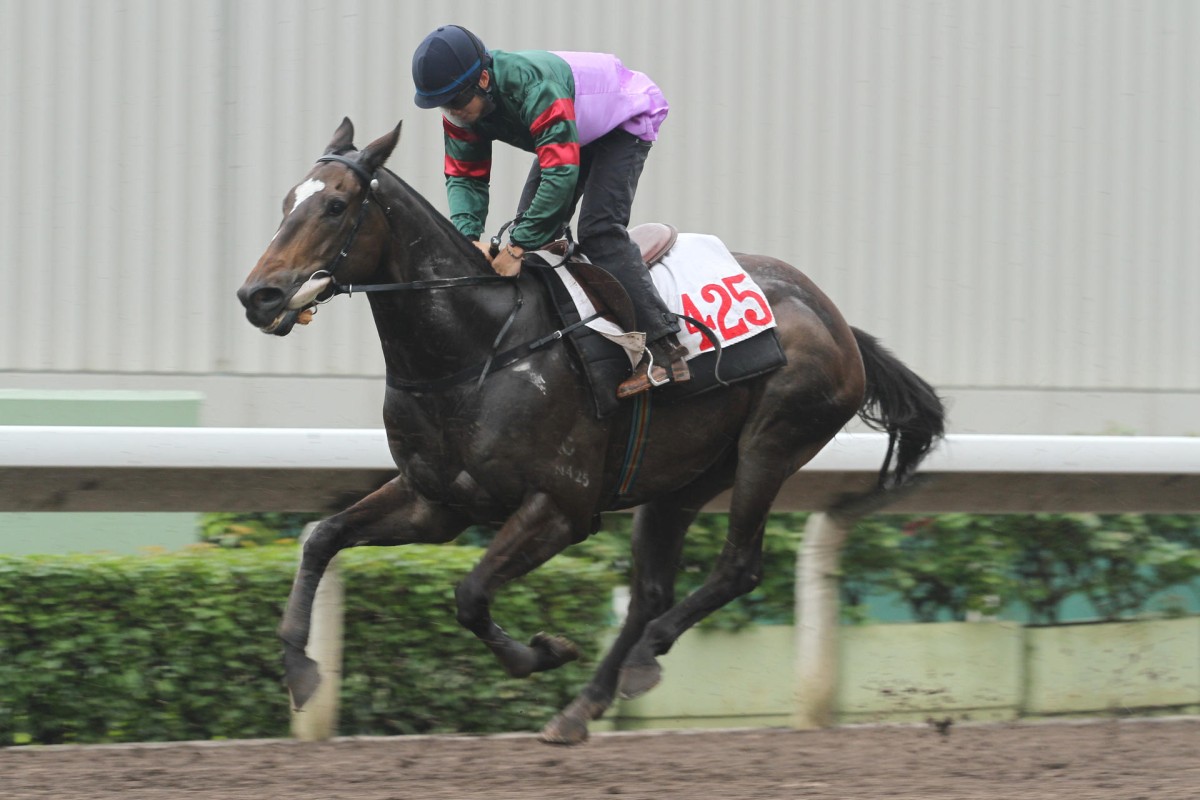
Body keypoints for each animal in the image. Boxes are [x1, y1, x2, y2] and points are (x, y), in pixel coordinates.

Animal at [236, 118, 945, 743]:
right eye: (285, 202)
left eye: (335, 205)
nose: (258, 296)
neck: (477, 347)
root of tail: (838, 322)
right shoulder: (436, 502)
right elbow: (323, 538)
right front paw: (299, 669)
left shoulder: (561, 506)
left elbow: (470, 593)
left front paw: (544, 651)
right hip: (683, 478)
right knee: (651, 591)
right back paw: (586, 705)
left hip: (770, 446)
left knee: (737, 567)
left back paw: (642, 658)